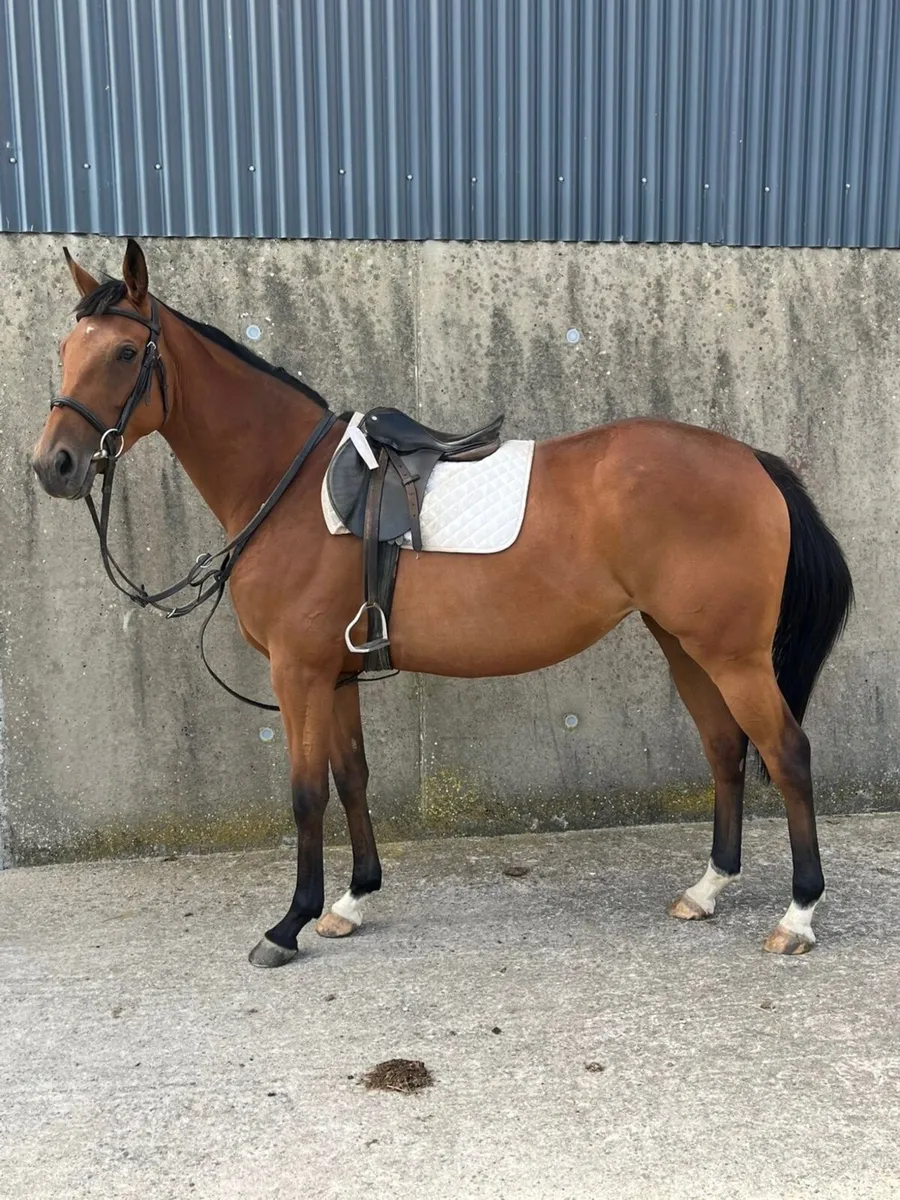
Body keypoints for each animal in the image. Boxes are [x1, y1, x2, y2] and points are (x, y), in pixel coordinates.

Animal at [32, 240, 853, 967]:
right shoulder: (336, 675)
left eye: (125, 354)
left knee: (787, 754)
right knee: (724, 749)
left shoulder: (299, 674)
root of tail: (752, 460)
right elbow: (352, 777)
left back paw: (798, 915)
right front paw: (351, 901)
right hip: (684, 644)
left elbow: (305, 794)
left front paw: (288, 924)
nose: (53, 465)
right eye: (66, 349)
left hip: (732, 654)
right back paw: (708, 889)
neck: (287, 484)